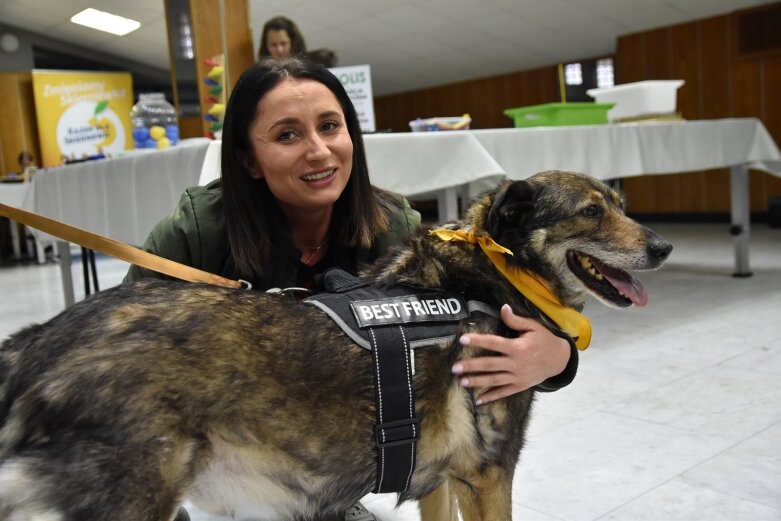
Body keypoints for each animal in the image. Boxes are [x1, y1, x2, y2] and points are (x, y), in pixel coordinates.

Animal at [0, 172, 672, 520]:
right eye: (591, 212)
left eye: (621, 204)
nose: (664, 246)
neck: (487, 276)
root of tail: (37, 345)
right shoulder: (487, 476)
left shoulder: (440, 478)